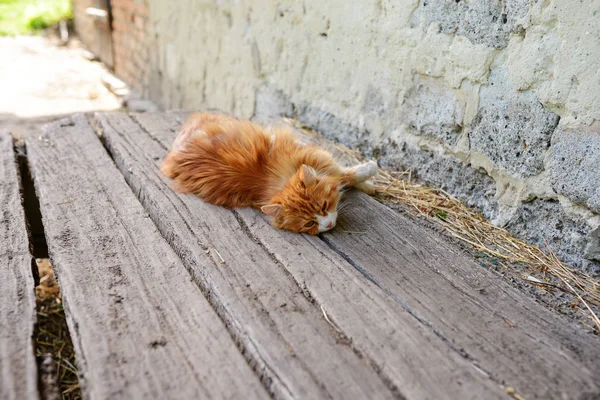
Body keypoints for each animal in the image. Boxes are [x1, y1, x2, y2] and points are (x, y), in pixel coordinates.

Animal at [162, 112, 378, 234]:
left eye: (324, 206)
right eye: (309, 224)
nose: (329, 224)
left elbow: (343, 173)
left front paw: (369, 179)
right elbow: (343, 176)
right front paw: (368, 176)